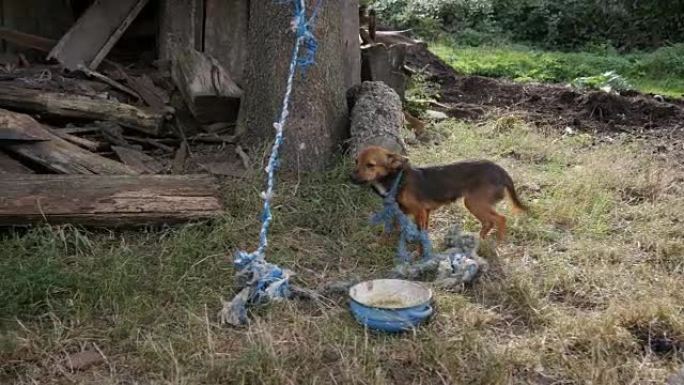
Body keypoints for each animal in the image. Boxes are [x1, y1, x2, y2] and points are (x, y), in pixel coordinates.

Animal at [350, 146, 528, 242]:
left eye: (370, 165)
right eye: (356, 161)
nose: (351, 177)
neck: (396, 180)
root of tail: (501, 171)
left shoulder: (420, 212)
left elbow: (420, 234)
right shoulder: (418, 212)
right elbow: (399, 230)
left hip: (474, 203)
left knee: (500, 219)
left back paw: (498, 243)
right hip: (476, 204)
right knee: (489, 222)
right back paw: (480, 239)